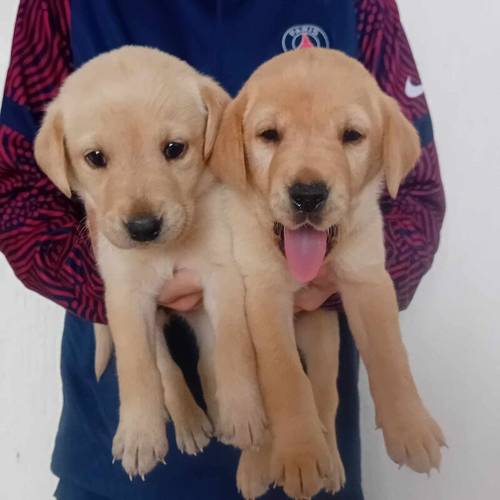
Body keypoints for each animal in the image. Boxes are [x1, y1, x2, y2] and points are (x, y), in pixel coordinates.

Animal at [33, 47, 268, 480]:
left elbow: (234, 346)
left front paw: (243, 411)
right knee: (166, 367)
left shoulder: (222, 276)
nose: (143, 228)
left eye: (175, 149)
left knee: (207, 356)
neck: (167, 251)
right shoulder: (125, 296)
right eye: (95, 158)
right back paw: (188, 422)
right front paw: (140, 435)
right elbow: (138, 369)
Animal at [210, 47, 446, 500]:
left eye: (351, 135)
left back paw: (331, 460)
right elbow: (284, 375)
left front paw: (411, 428)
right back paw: (259, 464)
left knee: (325, 393)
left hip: (323, 333)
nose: (307, 195)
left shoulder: (368, 278)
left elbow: (390, 354)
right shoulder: (263, 293)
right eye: (269, 135)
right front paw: (299, 454)